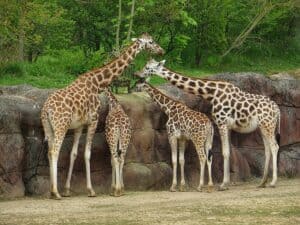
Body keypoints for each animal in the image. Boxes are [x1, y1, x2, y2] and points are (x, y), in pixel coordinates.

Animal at [40, 33, 164, 199]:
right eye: (151, 41)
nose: (161, 50)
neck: (97, 83)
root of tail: (46, 109)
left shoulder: (79, 125)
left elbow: (74, 153)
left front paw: (67, 189)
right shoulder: (94, 119)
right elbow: (87, 153)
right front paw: (91, 190)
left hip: (49, 128)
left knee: (49, 152)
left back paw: (52, 192)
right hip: (61, 126)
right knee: (54, 152)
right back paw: (55, 192)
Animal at [136, 59, 282, 190]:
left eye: (147, 67)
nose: (138, 74)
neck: (211, 93)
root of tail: (277, 110)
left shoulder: (221, 122)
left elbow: (224, 152)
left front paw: (223, 184)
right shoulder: (226, 126)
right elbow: (227, 151)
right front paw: (226, 183)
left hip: (268, 125)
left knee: (274, 146)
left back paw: (273, 182)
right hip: (263, 127)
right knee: (267, 149)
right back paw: (262, 182)